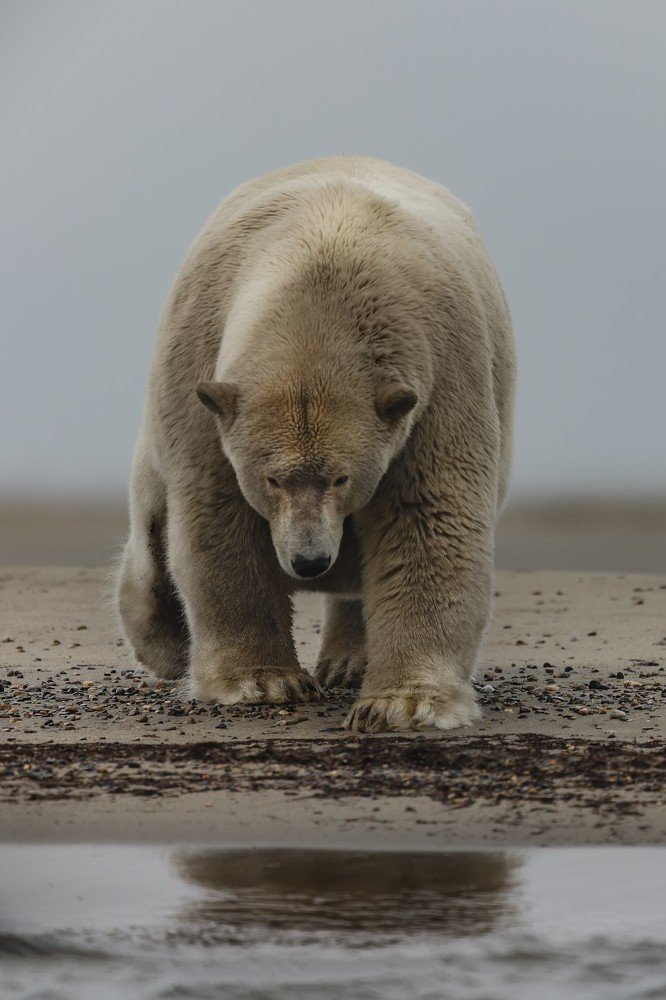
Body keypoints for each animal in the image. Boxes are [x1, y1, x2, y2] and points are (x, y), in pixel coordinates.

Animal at [116, 156, 516, 736]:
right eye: (273, 478)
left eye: (341, 477)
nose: (309, 560)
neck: (323, 258)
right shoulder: (202, 369)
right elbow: (220, 515)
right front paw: (262, 681)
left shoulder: (438, 381)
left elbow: (426, 516)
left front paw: (404, 702)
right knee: (152, 525)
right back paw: (163, 643)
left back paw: (349, 662)